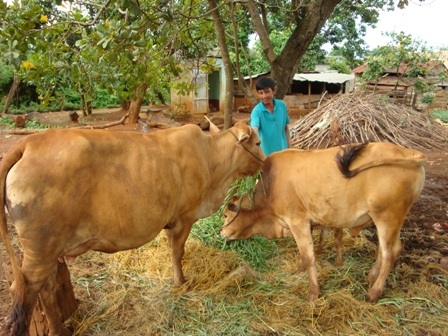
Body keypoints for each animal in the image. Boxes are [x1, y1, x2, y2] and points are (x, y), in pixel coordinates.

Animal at [0, 121, 264, 336]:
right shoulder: (184, 217)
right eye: (259, 142)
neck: (211, 161)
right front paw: (181, 283)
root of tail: (29, 143)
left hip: (51, 250)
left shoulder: (169, 219)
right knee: (25, 292)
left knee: (46, 288)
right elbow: (177, 253)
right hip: (40, 249)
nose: (265, 162)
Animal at [220, 142, 428, 302]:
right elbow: (316, 246)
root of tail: (410, 153)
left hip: (387, 218)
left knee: (389, 254)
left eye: (225, 215)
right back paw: (371, 277)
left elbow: (308, 256)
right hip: (391, 221)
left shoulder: (298, 221)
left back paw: (374, 293)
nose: (221, 232)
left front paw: (313, 293)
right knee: (390, 250)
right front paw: (298, 271)